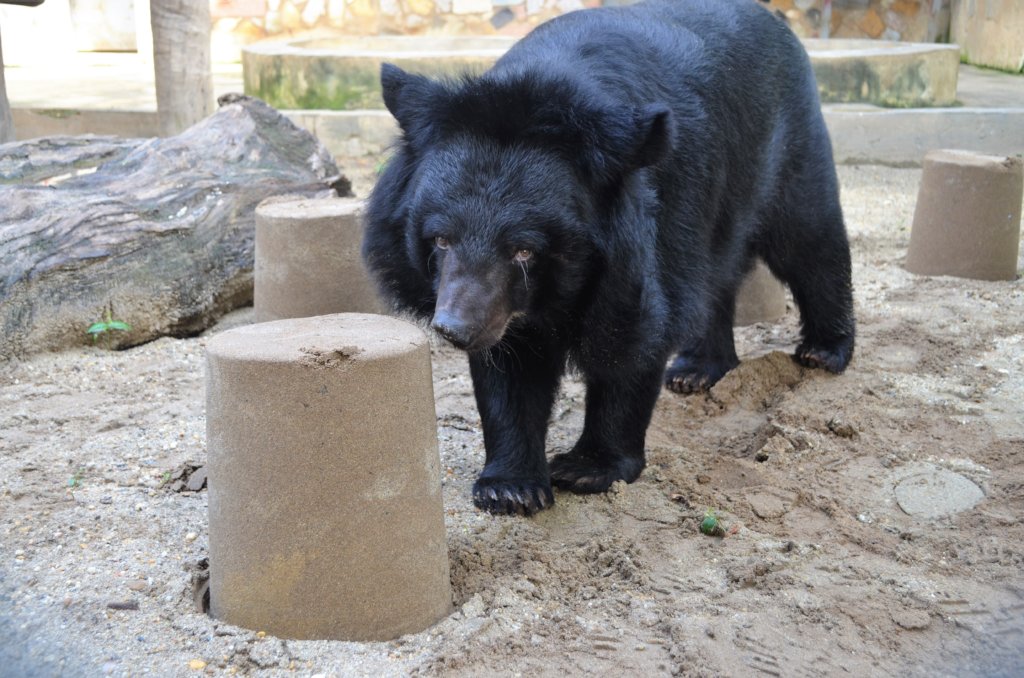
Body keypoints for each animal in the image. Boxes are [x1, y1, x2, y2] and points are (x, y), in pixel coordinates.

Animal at [363, 0, 855, 515]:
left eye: (524, 250)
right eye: (441, 240)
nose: (454, 329)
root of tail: (774, 19)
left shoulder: (650, 229)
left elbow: (635, 332)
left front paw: (588, 468)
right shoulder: (502, 306)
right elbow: (508, 368)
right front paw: (510, 487)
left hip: (788, 142)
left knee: (809, 239)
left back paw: (823, 351)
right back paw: (697, 369)